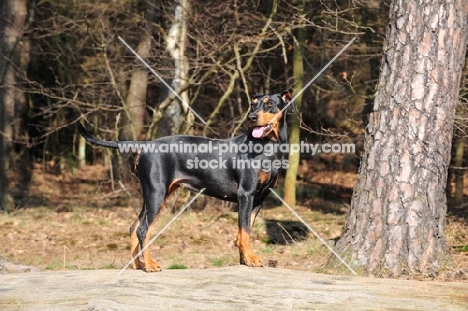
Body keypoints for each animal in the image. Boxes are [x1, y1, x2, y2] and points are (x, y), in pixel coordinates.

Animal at [79, 91, 292, 272]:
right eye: (253, 104)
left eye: (270, 104)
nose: (251, 118)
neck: (267, 145)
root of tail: (145, 145)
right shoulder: (245, 195)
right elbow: (245, 231)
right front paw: (250, 259)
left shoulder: (258, 200)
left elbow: (243, 232)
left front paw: (243, 260)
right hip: (157, 193)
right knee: (142, 229)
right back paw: (149, 265)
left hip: (155, 195)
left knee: (134, 227)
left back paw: (137, 265)